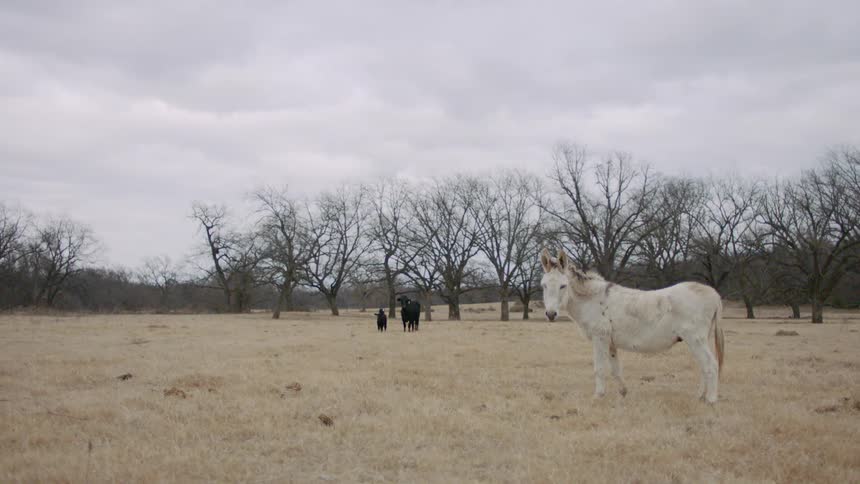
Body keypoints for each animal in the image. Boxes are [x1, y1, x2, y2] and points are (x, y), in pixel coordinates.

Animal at [540, 248, 725, 403]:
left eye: (563, 286)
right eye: (544, 285)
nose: (551, 314)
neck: (592, 299)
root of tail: (714, 294)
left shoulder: (599, 338)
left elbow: (599, 368)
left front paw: (598, 396)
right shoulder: (610, 342)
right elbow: (615, 369)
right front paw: (623, 392)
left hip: (695, 339)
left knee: (711, 365)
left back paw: (711, 400)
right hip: (699, 339)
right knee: (704, 366)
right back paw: (699, 397)